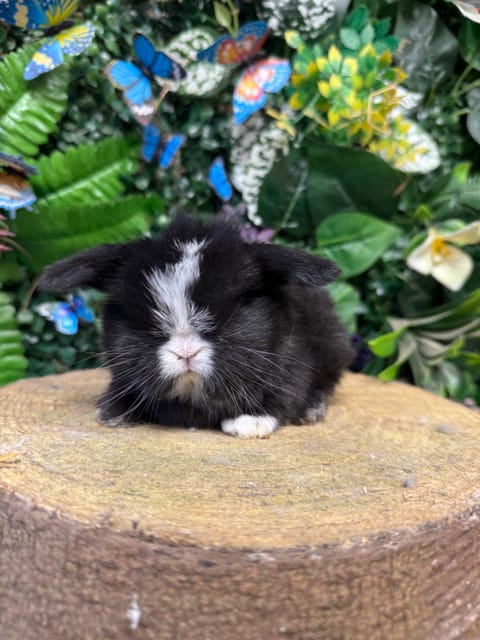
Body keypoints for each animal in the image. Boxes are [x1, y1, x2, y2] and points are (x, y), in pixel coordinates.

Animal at [39, 214, 353, 438]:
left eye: (230, 313)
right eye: (147, 321)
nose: (186, 352)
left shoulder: (291, 367)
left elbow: (285, 396)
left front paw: (249, 423)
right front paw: (111, 413)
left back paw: (312, 410)